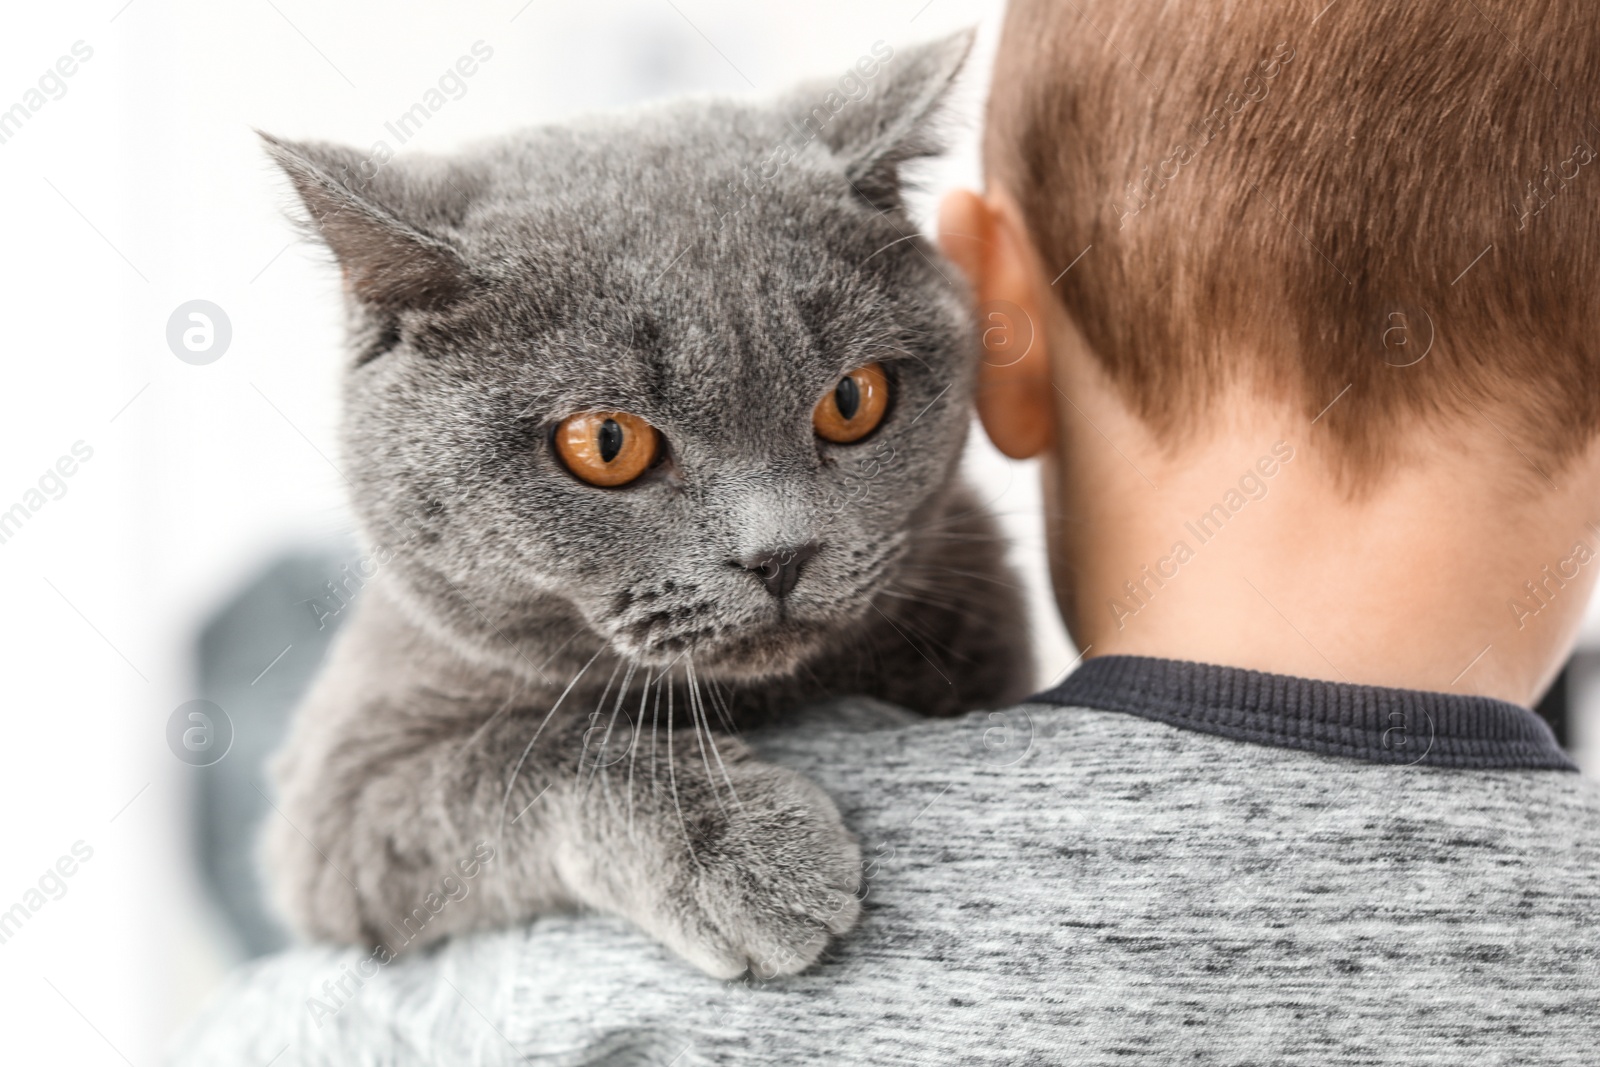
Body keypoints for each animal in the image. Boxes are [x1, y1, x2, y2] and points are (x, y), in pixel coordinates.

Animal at [262, 31, 1030, 985]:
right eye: (606, 441)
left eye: (853, 399)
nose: (781, 554)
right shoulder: (337, 797)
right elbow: (531, 754)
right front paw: (753, 860)